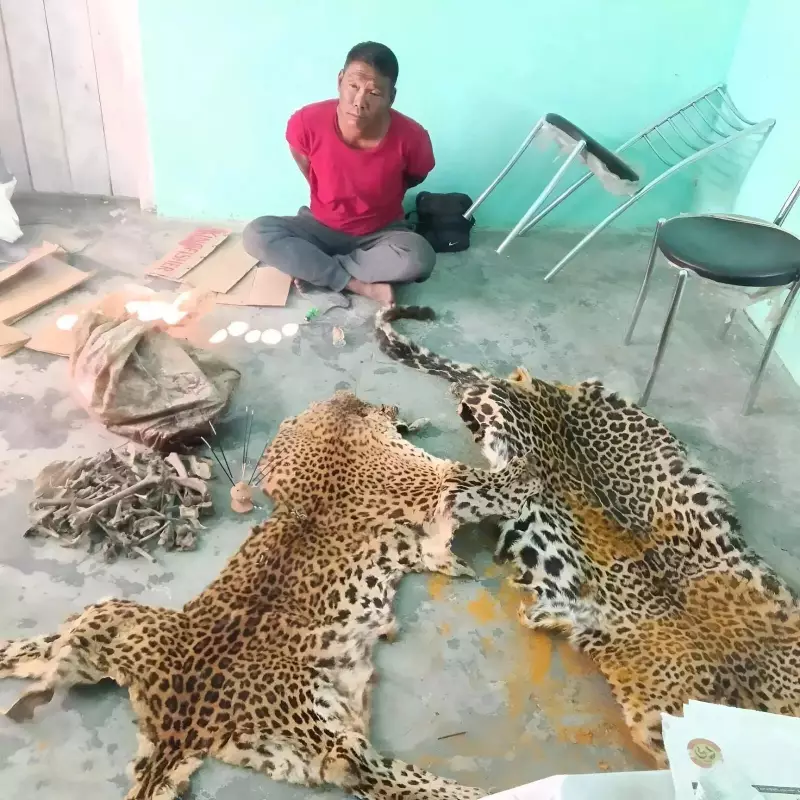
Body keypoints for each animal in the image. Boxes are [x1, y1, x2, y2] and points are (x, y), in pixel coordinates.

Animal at [0, 390, 537, 800]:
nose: (386, 407)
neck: (341, 425)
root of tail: (176, 723)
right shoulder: (444, 484)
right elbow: (495, 481)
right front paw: (526, 461)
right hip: (328, 732)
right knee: (371, 773)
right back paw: (476, 793)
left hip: (108, 615)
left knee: (51, 650)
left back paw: (21, 681)